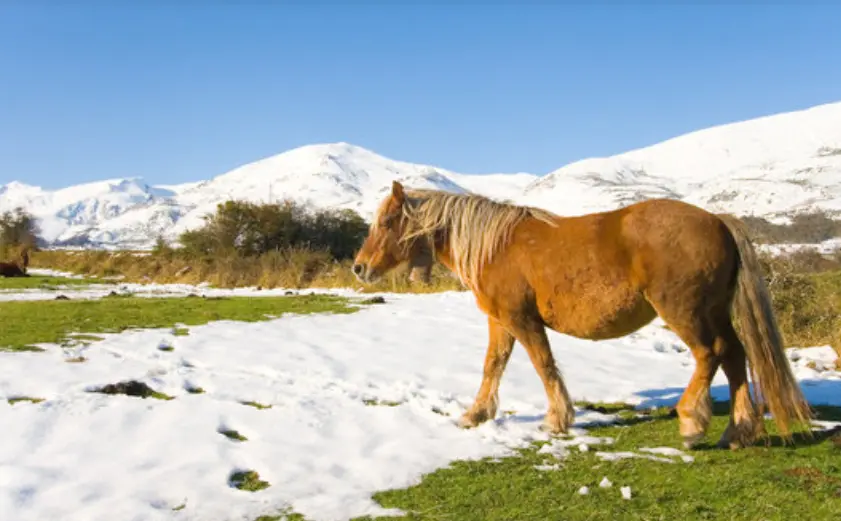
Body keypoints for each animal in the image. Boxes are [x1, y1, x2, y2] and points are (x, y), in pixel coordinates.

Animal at [351, 181, 813, 450]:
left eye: (388, 220)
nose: (359, 267)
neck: (496, 246)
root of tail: (717, 220)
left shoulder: (522, 320)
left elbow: (543, 364)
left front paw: (558, 419)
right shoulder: (500, 321)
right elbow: (492, 366)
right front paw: (476, 415)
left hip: (685, 311)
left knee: (710, 353)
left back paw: (692, 423)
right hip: (713, 311)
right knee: (735, 356)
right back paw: (738, 431)